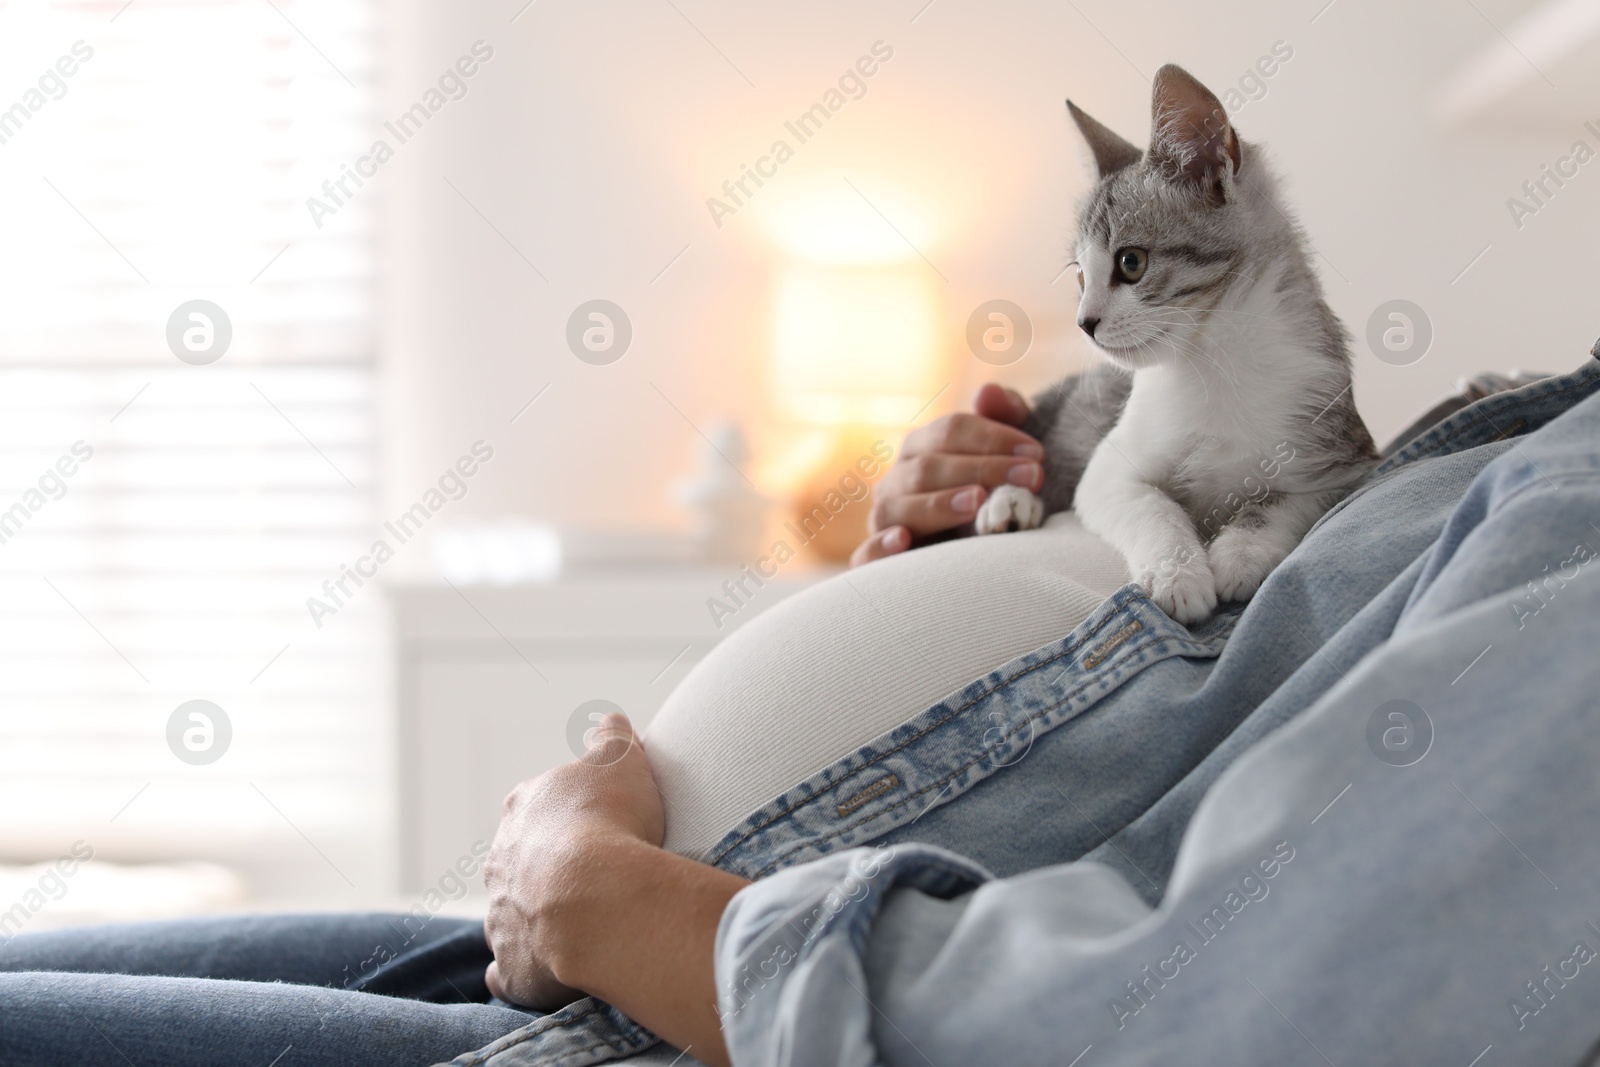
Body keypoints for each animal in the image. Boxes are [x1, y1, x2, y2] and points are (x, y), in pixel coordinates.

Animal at [972, 64, 1376, 627]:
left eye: (1131, 263)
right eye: (1080, 277)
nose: (1083, 323)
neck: (1214, 359)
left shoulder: (1344, 457)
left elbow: (1283, 501)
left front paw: (1241, 552)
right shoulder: (1107, 472)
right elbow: (1148, 505)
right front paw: (1178, 574)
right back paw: (1009, 503)